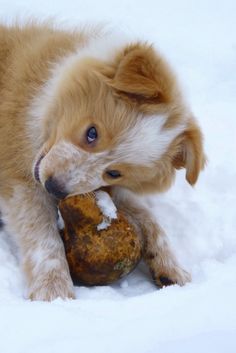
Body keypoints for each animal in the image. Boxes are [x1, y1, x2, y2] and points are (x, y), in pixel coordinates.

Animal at [0, 21, 205, 300]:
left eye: (114, 173)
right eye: (92, 133)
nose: (54, 187)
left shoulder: (104, 187)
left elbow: (148, 216)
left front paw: (172, 267)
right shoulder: (18, 177)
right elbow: (42, 235)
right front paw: (54, 293)